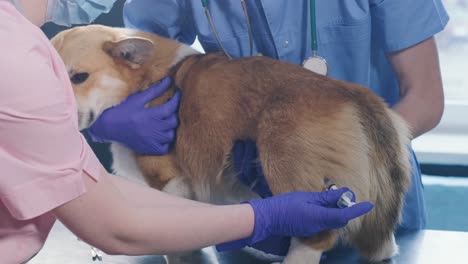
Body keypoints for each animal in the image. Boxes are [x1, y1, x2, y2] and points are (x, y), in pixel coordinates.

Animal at [50, 25, 410, 264]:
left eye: (79, 77)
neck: (141, 82)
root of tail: (354, 96)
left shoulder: (169, 179)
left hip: (282, 160)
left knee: (317, 232)